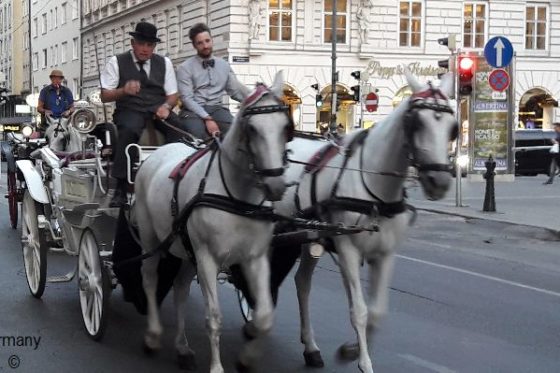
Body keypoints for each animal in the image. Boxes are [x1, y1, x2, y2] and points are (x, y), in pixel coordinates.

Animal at [136, 71, 294, 370]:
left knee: (180, 290)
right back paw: (152, 335)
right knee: (149, 278)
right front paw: (217, 367)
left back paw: (182, 347)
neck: (237, 198)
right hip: (152, 239)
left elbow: (264, 315)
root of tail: (156, 153)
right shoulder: (208, 258)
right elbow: (214, 317)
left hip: (186, 250)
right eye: (251, 128)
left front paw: (248, 354)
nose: (276, 186)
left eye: (285, 127)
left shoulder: (255, 258)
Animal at [274, 70, 458, 372]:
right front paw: (363, 361)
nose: (439, 181)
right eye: (416, 122)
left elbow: (377, 312)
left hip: (310, 237)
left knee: (302, 283)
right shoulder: (347, 249)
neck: (375, 190)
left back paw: (311, 347)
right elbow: (359, 311)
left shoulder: (384, 254)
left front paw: (350, 350)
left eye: (454, 128)